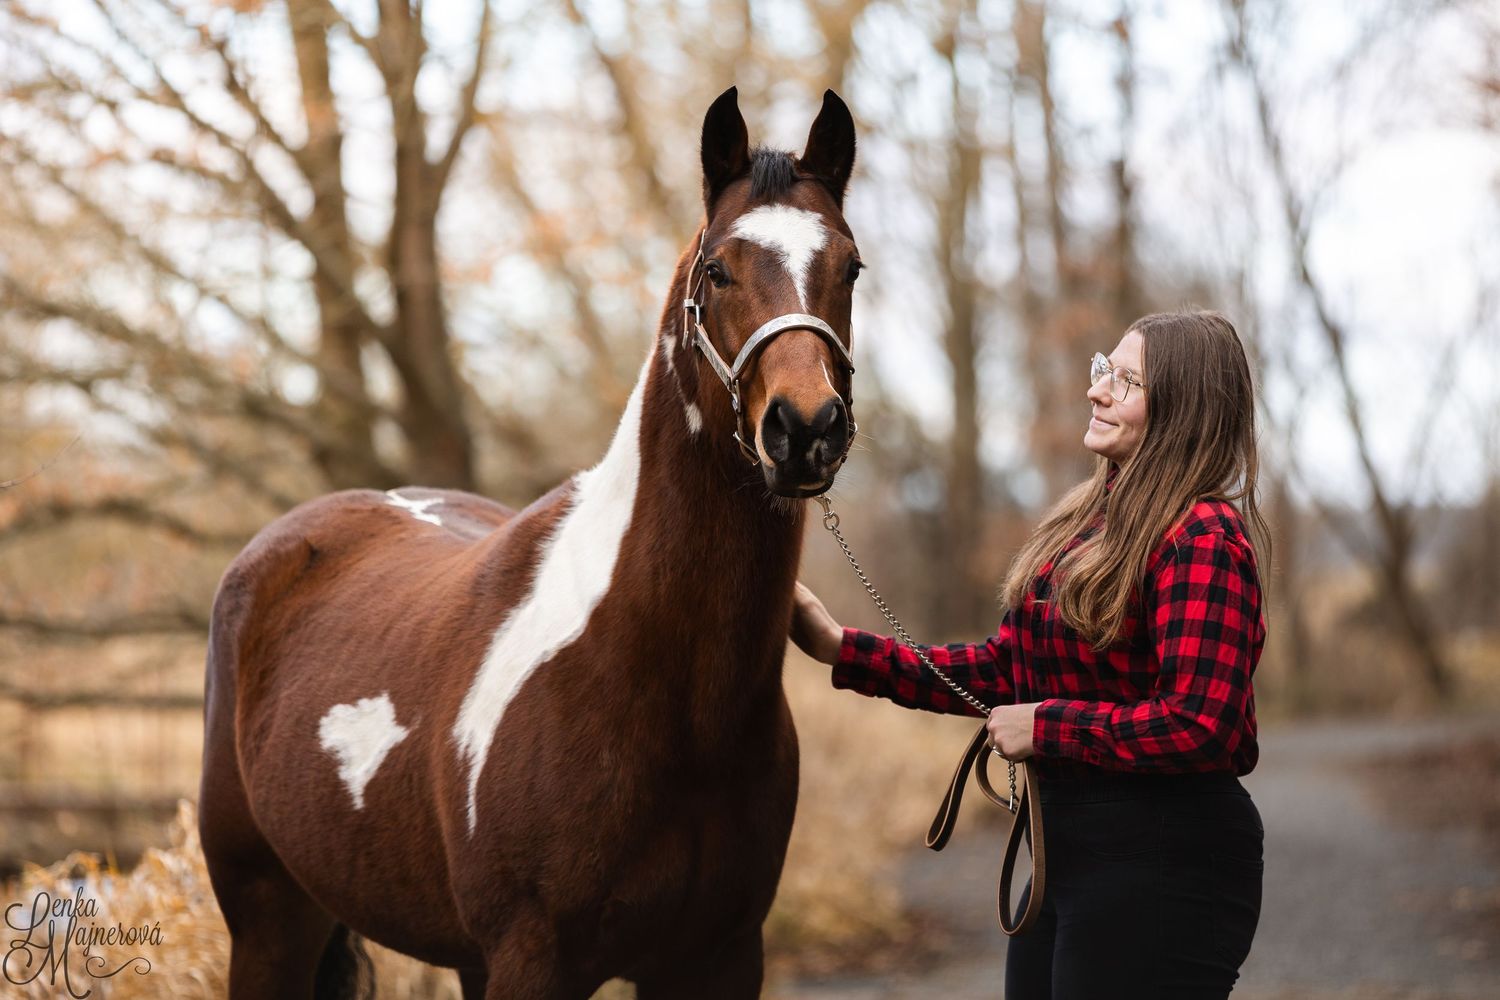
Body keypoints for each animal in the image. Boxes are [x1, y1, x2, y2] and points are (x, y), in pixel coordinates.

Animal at [199, 86, 861, 1000]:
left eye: (851, 267)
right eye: (718, 271)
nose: (806, 430)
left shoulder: (719, 957)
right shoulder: (533, 958)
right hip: (269, 919)